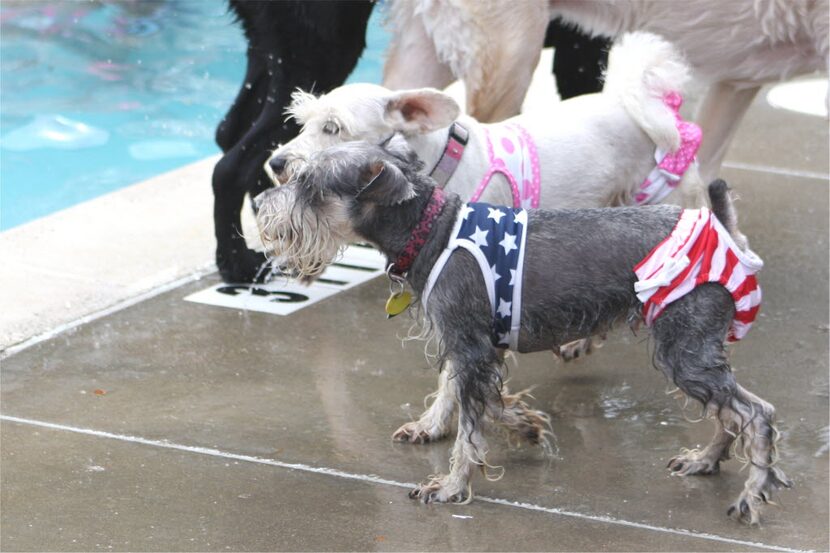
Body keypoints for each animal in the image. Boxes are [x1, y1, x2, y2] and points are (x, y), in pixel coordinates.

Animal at [256, 137, 796, 520]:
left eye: (311, 187)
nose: (260, 202)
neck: (429, 229)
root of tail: (723, 229)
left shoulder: (470, 345)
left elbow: (470, 424)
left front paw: (452, 485)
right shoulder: (469, 343)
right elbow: (460, 394)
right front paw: (506, 425)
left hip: (682, 352)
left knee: (755, 413)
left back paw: (753, 492)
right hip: (698, 349)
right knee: (729, 411)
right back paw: (707, 459)